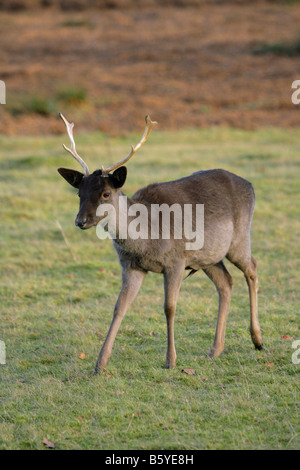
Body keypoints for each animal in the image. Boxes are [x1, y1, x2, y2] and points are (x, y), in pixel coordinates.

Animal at [56, 114, 262, 374]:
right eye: (79, 193)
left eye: (105, 193)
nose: (80, 221)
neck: (146, 239)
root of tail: (250, 185)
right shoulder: (131, 266)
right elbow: (119, 307)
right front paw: (100, 364)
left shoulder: (176, 261)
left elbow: (169, 307)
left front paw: (170, 360)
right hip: (208, 257)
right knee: (226, 283)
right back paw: (215, 349)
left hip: (239, 239)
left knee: (252, 268)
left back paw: (257, 339)